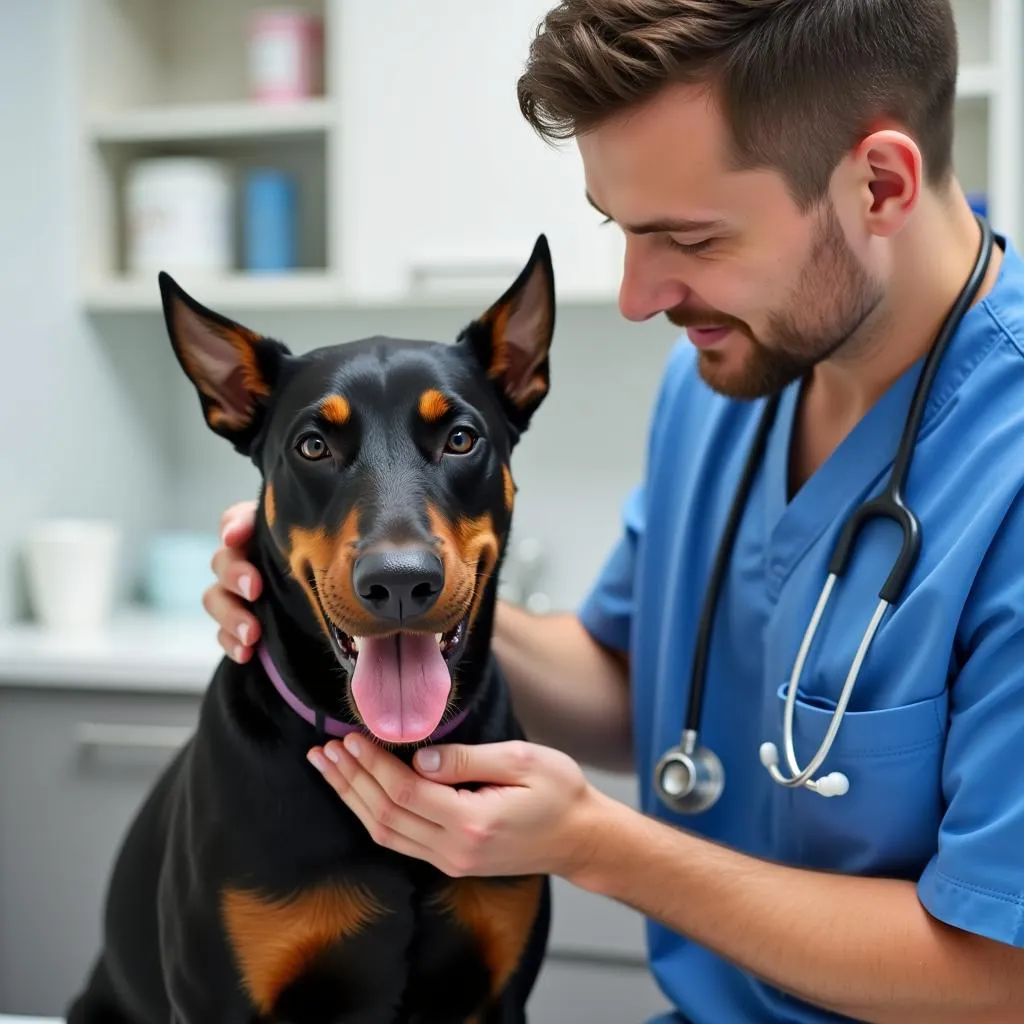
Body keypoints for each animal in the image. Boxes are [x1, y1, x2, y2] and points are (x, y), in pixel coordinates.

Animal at [66, 234, 552, 1024]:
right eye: (313, 446)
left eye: (460, 438)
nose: (399, 582)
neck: (391, 745)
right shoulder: (216, 997)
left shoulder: (499, 989)